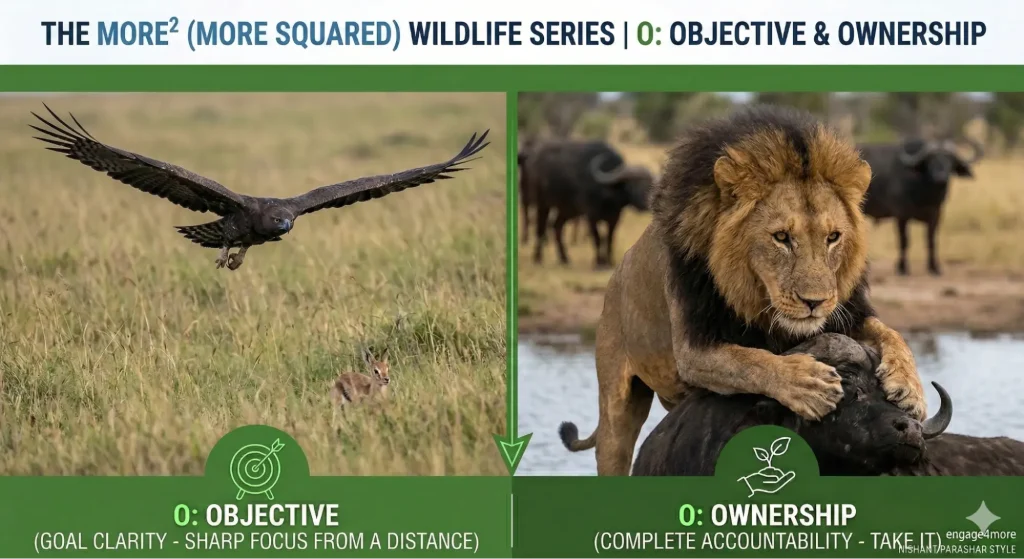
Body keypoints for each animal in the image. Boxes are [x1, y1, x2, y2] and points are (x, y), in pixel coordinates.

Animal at [522, 140, 653, 268]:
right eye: (632, 184)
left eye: (650, 185)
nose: (646, 203)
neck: (607, 193)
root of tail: (534, 159)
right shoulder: (591, 217)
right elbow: (597, 238)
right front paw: (599, 262)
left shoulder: (614, 218)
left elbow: (609, 239)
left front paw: (609, 261)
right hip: (542, 204)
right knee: (541, 228)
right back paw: (538, 258)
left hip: (567, 210)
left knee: (556, 226)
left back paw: (564, 258)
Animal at [558, 105, 927, 476]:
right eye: (782, 237)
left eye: (833, 237)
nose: (815, 302)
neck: (758, 301)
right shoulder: (693, 349)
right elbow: (749, 361)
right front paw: (808, 384)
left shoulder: (846, 313)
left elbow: (891, 333)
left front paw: (910, 388)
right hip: (615, 405)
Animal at [860, 138, 984, 276]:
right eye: (931, 160)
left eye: (950, 160)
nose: (941, 177)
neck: (924, 194)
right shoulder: (901, 215)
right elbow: (904, 241)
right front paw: (902, 268)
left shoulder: (936, 215)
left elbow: (931, 240)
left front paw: (934, 267)